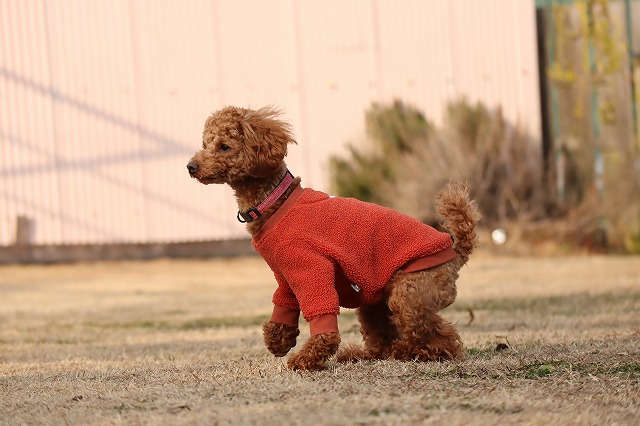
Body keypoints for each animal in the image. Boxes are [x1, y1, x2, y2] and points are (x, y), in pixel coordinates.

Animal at [187, 106, 480, 371]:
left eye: (224, 146)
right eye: (204, 144)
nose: (191, 166)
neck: (274, 200)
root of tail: (455, 251)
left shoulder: (311, 268)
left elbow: (322, 316)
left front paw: (308, 358)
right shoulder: (285, 273)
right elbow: (283, 305)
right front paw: (279, 339)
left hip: (410, 292)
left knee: (441, 340)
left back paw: (410, 352)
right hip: (373, 303)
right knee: (382, 343)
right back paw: (360, 355)